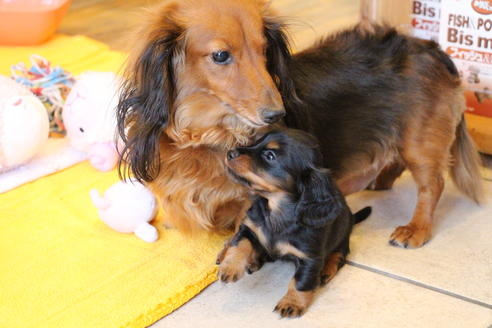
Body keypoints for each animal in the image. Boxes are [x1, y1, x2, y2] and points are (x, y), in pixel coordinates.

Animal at [217, 129, 370, 318]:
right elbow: (239, 245)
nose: (229, 153)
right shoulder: (249, 228)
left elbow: (300, 282)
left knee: (339, 255)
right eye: (256, 141)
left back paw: (326, 270)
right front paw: (229, 267)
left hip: (342, 238)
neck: (276, 210)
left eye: (270, 155)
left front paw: (292, 303)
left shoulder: (310, 257)